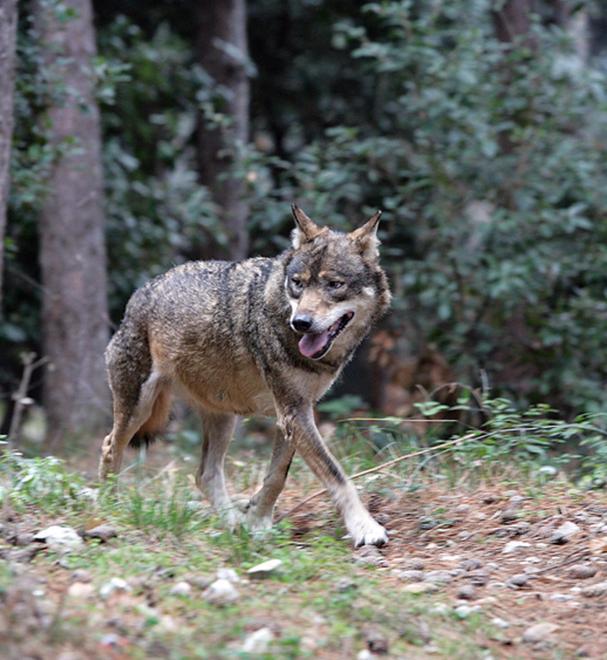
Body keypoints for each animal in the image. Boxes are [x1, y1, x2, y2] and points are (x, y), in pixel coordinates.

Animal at [99, 205, 391, 546]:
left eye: (334, 285)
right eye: (298, 283)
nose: (301, 322)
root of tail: (141, 292)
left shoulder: (293, 414)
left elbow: (277, 476)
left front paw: (257, 522)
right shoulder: (293, 413)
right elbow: (336, 474)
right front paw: (365, 527)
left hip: (224, 417)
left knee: (205, 475)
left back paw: (233, 524)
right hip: (139, 408)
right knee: (110, 447)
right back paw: (109, 506)